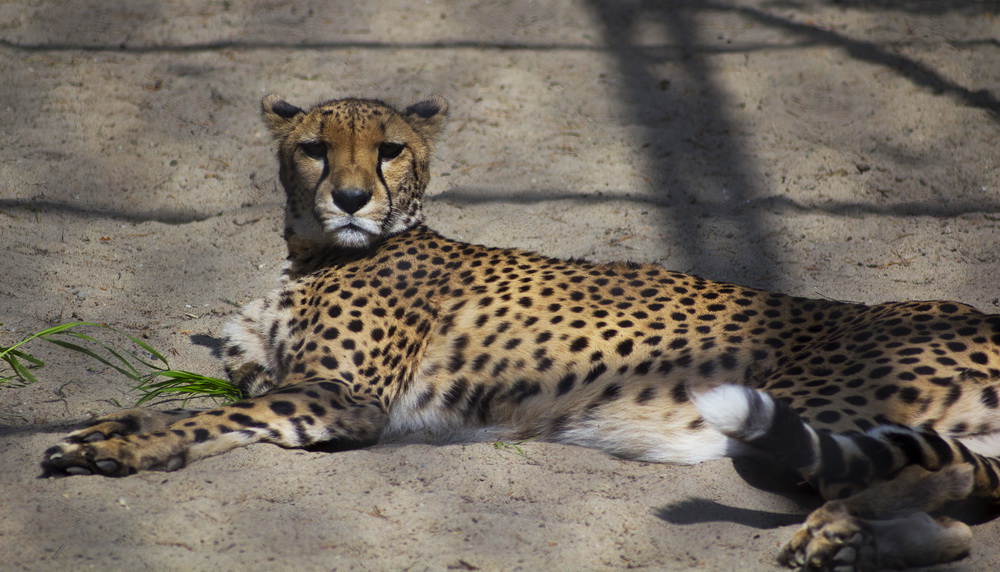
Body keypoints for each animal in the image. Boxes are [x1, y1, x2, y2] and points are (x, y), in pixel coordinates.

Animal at [43, 95, 1000, 572]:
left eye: (389, 149)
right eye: (315, 147)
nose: (350, 197)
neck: (314, 250)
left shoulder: (340, 398)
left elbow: (203, 418)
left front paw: (123, 451)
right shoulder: (280, 378)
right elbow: (178, 404)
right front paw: (103, 431)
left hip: (816, 410)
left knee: (926, 479)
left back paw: (842, 533)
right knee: (957, 512)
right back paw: (854, 541)